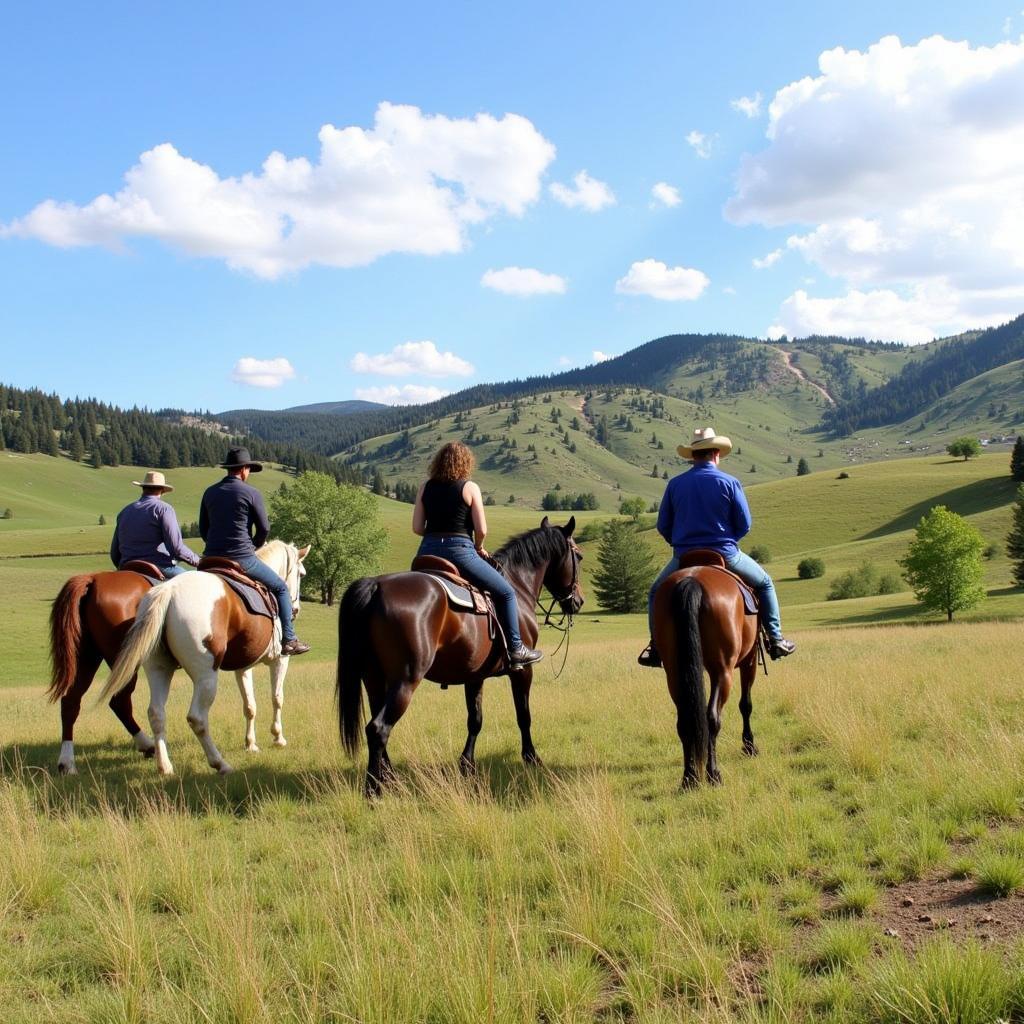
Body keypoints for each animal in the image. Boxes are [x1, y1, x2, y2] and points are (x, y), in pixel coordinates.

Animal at [48, 569, 155, 774]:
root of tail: (94, 579)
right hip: (124, 662)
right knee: (119, 702)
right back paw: (148, 745)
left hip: (86, 658)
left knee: (70, 702)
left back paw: (67, 763)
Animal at [98, 540, 309, 770]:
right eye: (301, 574)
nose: (296, 609)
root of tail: (168, 590)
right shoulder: (279, 660)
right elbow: (277, 698)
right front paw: (278, 738)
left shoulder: (243, 668)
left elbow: (249, 705)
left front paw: (251, 744)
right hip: (205, 676)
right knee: (197, 718)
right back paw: (219, 763)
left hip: (159, 669)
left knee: (156, 713)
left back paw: (165, 766)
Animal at [337, 516, 585, 794]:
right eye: (579, 556)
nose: (579, 601)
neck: (517, 585)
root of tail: (376, 586)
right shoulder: (522, 671)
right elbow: (524, 715)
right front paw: (532, 758)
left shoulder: (474, 675)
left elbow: (475, 719)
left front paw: (467, 764)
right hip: (405, 680)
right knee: (379, 728)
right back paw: (373, 789)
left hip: (374, 679)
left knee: (375, 725)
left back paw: (389, 778)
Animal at [651, 557, 757, 786]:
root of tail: (692, 580)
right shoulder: (750, 660)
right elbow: (746, 705)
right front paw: (750, 746)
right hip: (723, 672)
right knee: (713, 718)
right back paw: (713, 774)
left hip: (674, 674)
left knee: (684, 721)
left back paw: (689, 778)